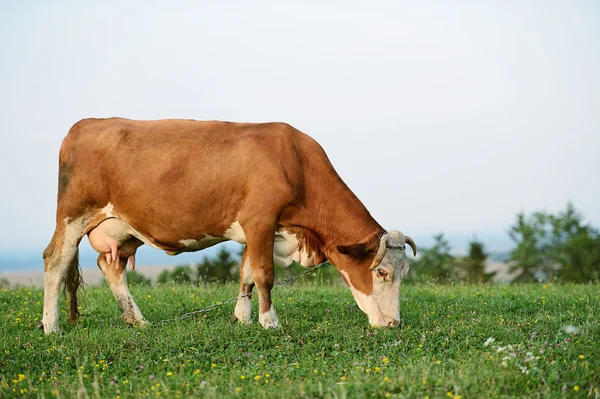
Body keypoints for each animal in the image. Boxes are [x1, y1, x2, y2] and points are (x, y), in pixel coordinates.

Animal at [39, 118, 418, 334]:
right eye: (382, 272)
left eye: (403, 273)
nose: (393, 324)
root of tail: (85, 123)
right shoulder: (260, 220)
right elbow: (264, 274)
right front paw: (269, 322)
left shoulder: (261, 228)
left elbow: (246, 273)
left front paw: (242, 317)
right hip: (73, 214)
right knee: (55, 260)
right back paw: (51, 326)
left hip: (124, 227)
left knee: (111, 266)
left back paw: (138, 321)